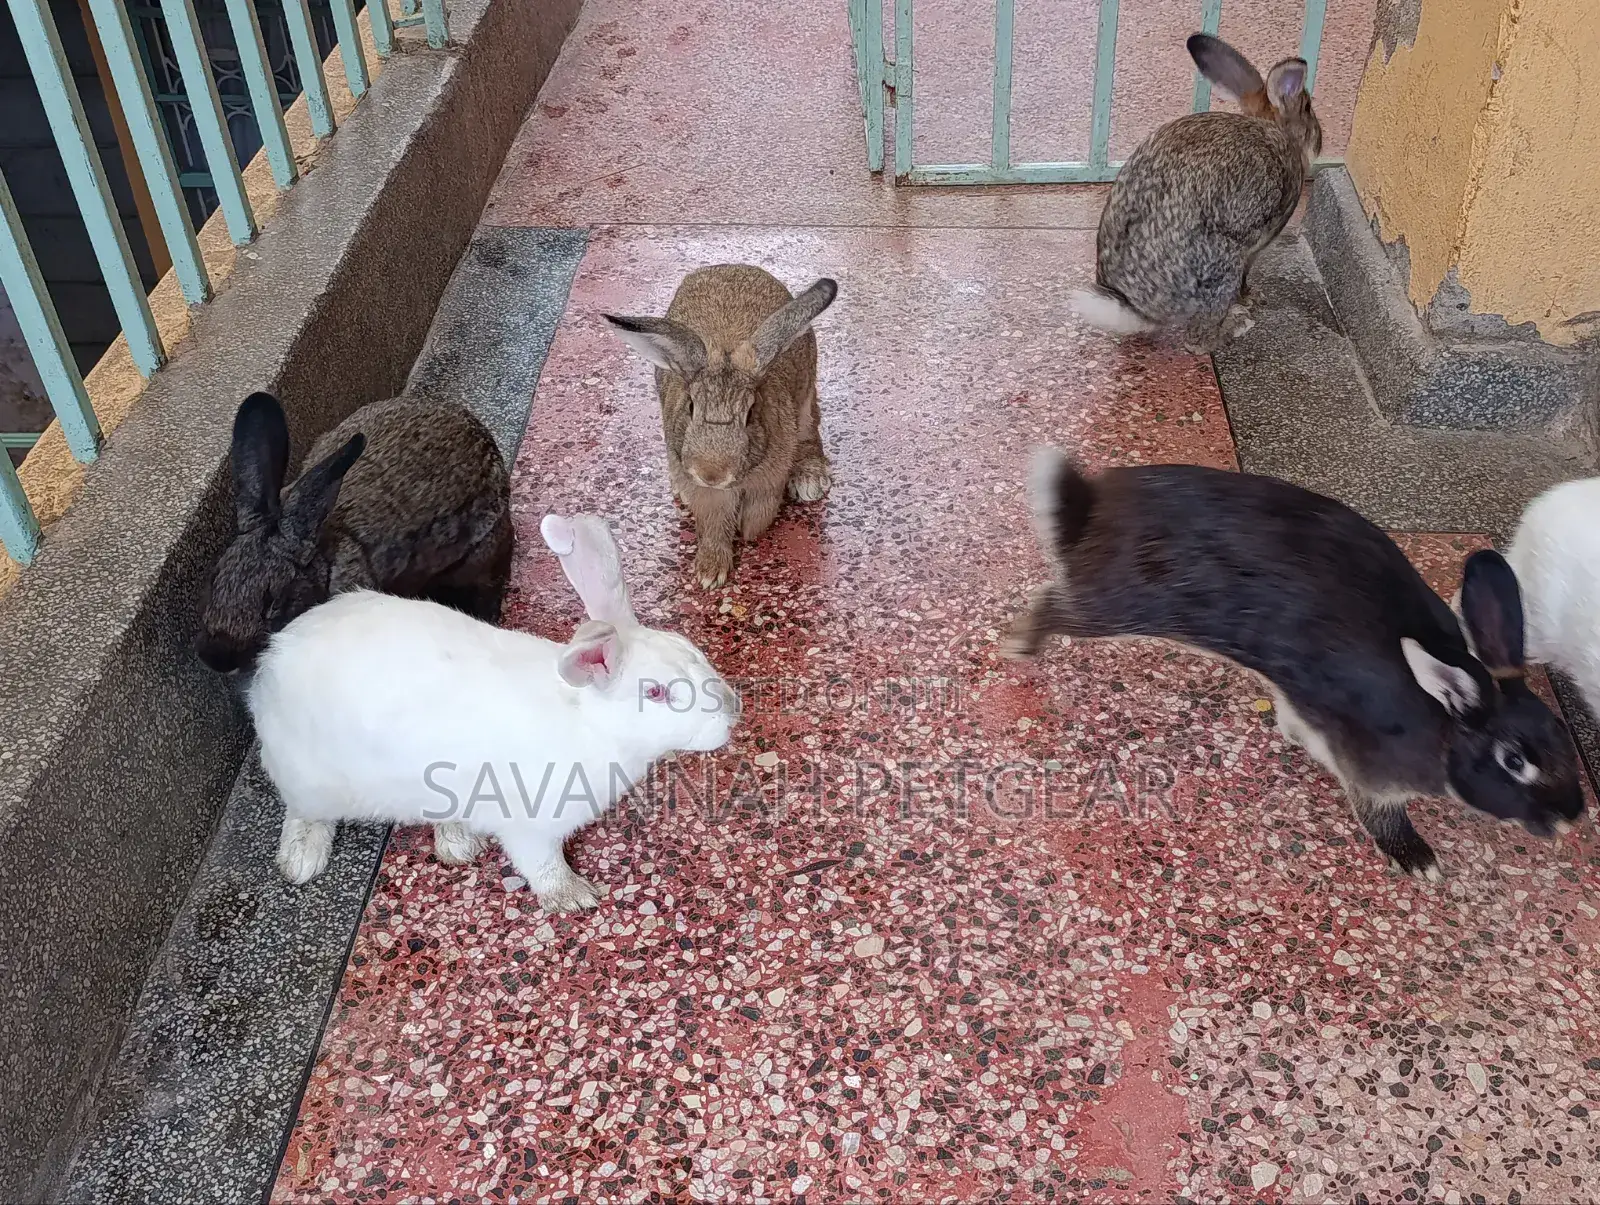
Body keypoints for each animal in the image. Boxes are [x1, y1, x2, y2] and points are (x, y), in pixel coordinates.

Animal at [248, 587, 741, 913]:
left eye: (693, 651)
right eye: (655, 692)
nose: (733, 710)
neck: (588, 722)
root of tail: (271, 658)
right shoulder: (531, 826)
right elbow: (542, 865)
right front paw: (575, 898)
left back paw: (458, 841)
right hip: (311, 778)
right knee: (304, 812)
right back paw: (302, 859)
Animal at [603, 265, 837, 589]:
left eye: (750, 414)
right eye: (691, 407)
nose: (711, 474)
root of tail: (732, 266)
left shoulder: (770, 478)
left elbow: (761, 511)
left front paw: (747, 530)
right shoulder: (708, 495)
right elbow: (713, 525)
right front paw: (709, 573)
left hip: (805, 396)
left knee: (810, 429)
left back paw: (810, 480)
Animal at [1003, 449, 1584, 879]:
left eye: (1562, 737)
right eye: (1514, 760)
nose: (1572, 819)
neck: (1441, 723)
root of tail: (1092, 508)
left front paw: (1290, 735)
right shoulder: (1370, 774)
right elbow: (1381, 815)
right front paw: (1418, 861)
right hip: (1116, 607)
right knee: (1052, 603)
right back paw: (1018, 645)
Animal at [1070, 33, 1322, 353]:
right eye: (1307, 109)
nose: (1319, 142)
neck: (1276, 129)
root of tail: (1139, 310)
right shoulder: (1259, 244)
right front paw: (1251, 298)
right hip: (1223, 264)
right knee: (1196, 341)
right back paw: (1235, 326)